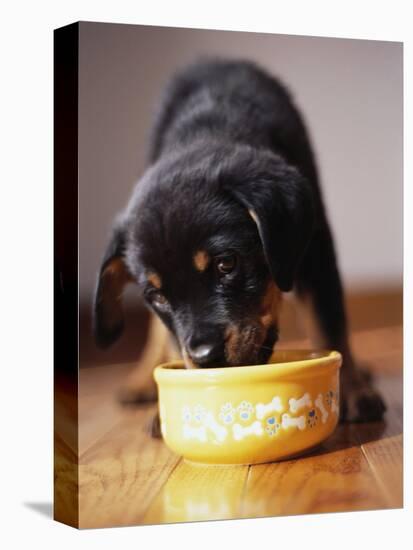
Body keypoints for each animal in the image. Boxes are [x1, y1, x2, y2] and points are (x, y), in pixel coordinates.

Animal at [95, 57, 384, 426]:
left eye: (226, 263)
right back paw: (140, 381)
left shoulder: (315, 247)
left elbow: (328, 322)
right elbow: (171, 338)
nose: (206, 357)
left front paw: (352, 391)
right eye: (157, 296)